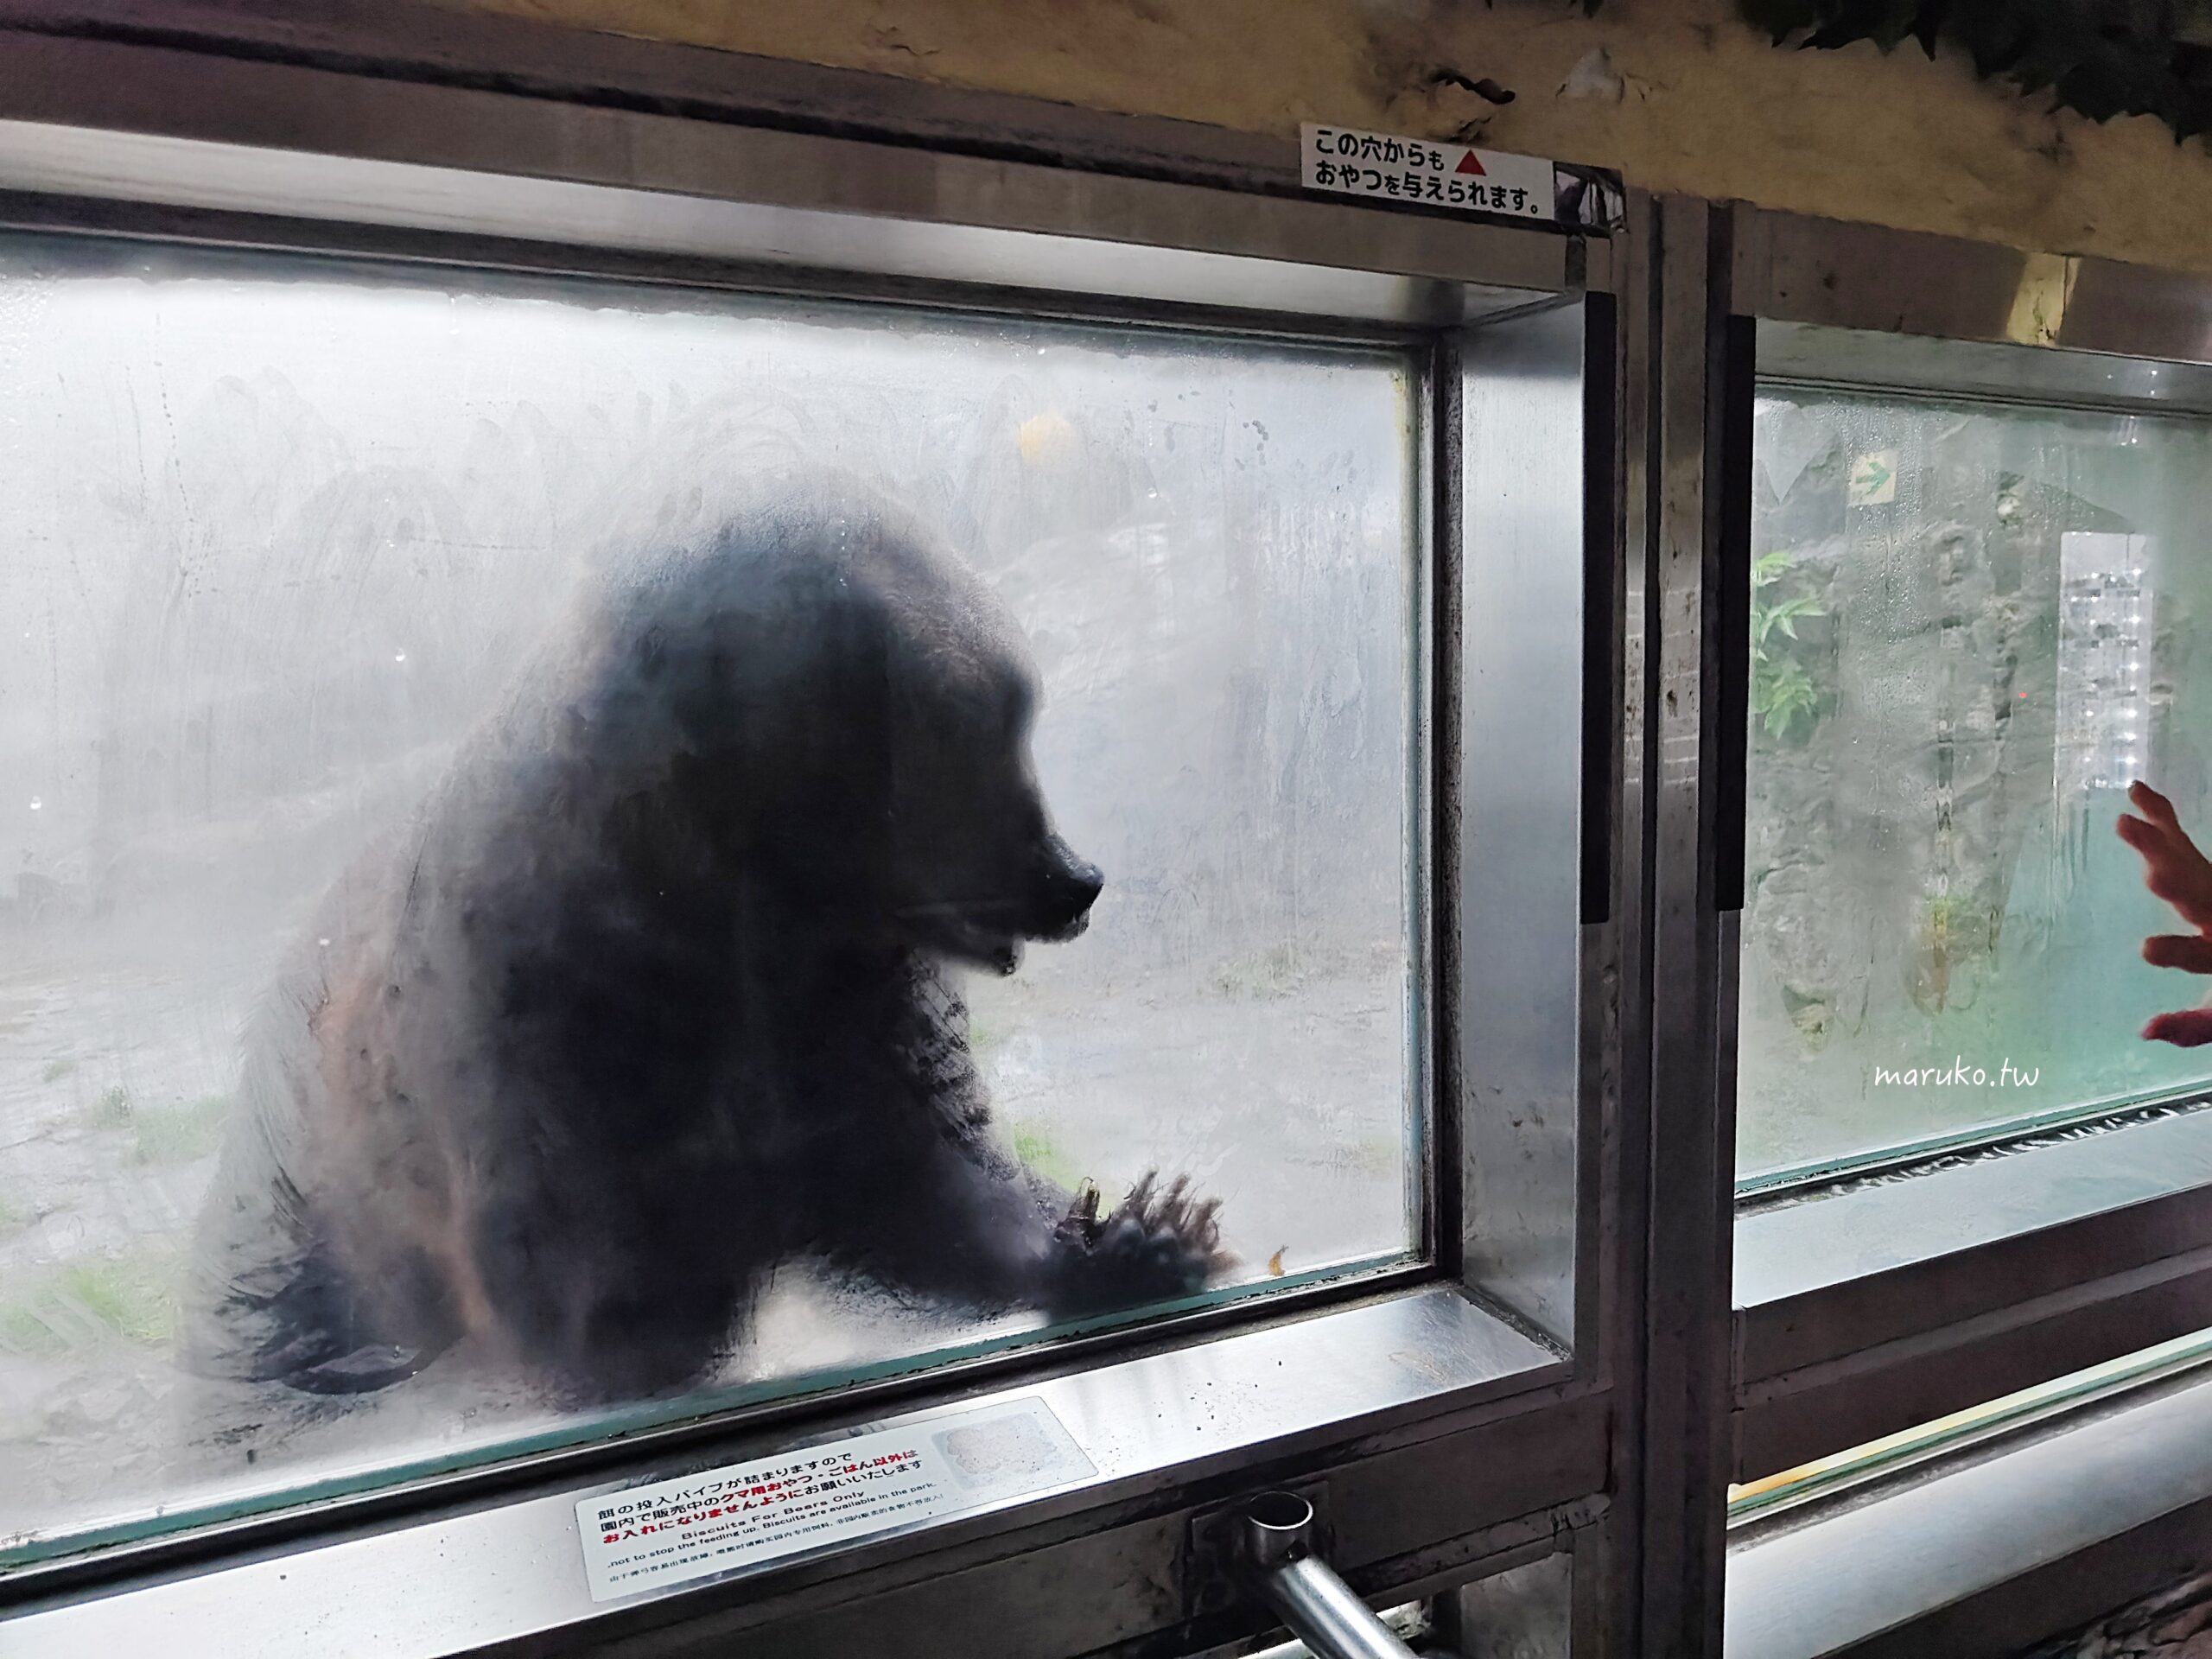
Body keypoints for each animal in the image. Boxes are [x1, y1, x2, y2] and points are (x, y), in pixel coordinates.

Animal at [181, 470, 1228, 1404]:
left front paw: (1142, 1232)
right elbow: (584, 1279)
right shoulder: (543, 1007)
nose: (1072, 880)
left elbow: (923, 1174)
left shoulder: (851, 993)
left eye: (1018, 705)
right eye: (967, 725)